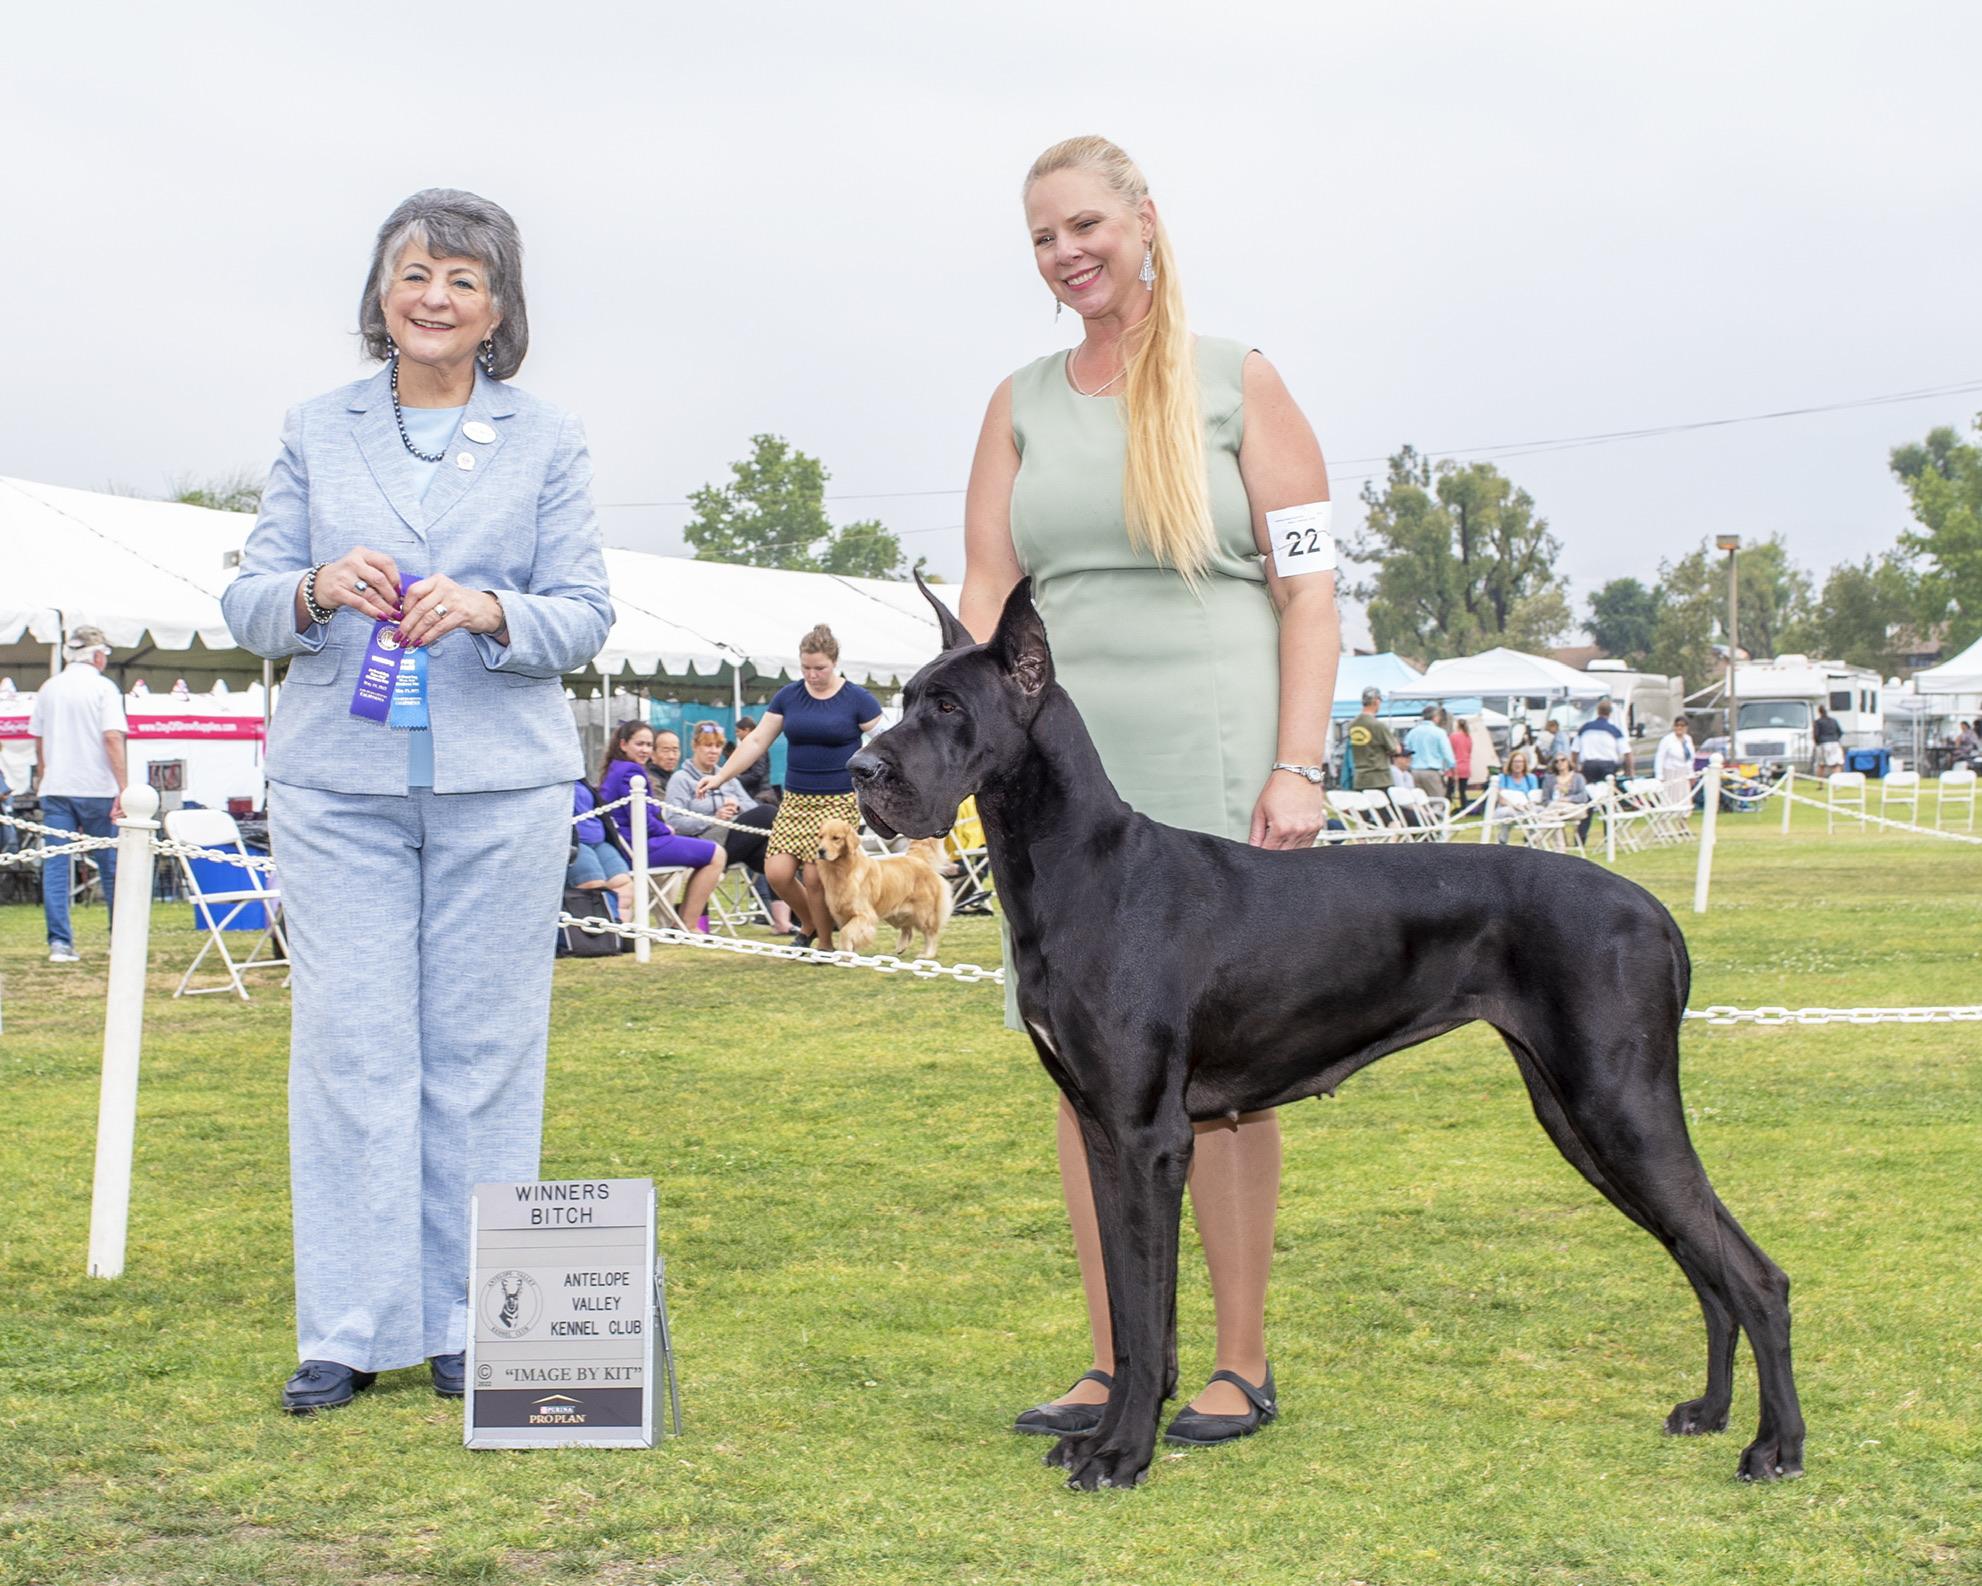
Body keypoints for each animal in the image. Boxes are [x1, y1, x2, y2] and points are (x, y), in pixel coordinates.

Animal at [812, 818, 954, 958]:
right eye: (820, 837)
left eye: (836, 838)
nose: (820, 851)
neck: (842, 870)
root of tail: (916, 859)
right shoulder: (842, 915)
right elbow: (848, 933)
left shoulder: (865, 915)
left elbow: (845, 932)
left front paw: (846, 953)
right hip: (896, 913)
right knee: (907, 928)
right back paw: (901, 947)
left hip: (924, 913)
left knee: (930, 933)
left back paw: (927, 954)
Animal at [846, 574, 1804, 1493]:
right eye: (905, 697)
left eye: (949, 708)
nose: (857, 768)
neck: (1083, 867)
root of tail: (1656, 912)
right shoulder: (1102, 1133)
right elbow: (1129, 1307)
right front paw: (1107, 1431)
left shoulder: (1150, 1137)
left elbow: (1148, 1313)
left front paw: (1120, 1457)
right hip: (1577, 1117)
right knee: (1702, 1260)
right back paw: (1710, 1412)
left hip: (1618, 1107)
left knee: (1754, 1274)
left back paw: (1775, 1447)